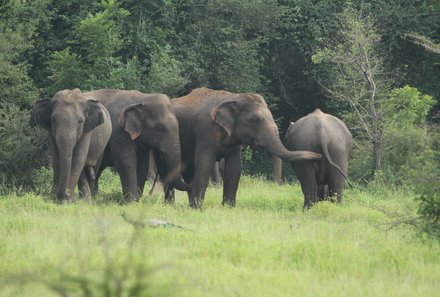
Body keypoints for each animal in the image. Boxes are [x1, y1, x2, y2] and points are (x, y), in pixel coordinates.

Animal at [167, 86, 322, 207]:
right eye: (255, 120)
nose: (319, 156)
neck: (234, 97)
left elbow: (235, 167)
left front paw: (228, 208)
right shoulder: (205, 131)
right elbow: (205, 164)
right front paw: (197, 208)